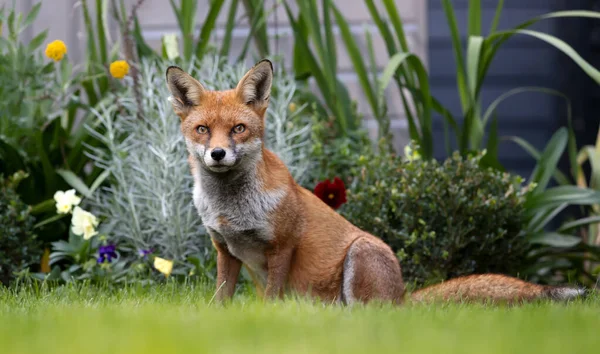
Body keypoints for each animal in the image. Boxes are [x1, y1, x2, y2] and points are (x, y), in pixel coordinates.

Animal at [166, 59, 588, 306]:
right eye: (203, 130)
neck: (231, 210)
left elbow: (271, 299)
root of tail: (402, 299)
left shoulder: (282, 247)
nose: (217, 154)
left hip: (360, 255)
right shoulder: (225, 251)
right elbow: (221, 301)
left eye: (238, 128)